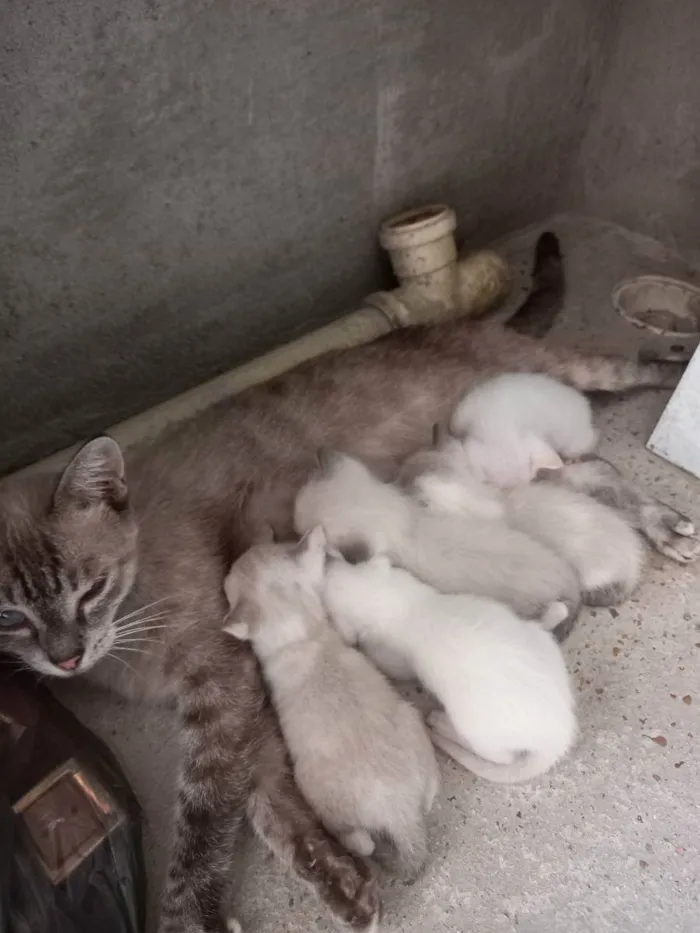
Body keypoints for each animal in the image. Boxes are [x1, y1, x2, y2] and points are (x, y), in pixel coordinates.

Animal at [221, 528, 438, 876]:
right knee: (430, 794)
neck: (300, 633)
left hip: (313, 790)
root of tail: (401, 814)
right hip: (413, 720)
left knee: (363, 842)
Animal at [326, 556, 576, 784]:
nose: (328, 560)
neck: (395, 604)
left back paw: (440, 722)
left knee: (501, 757)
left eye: (330, 612)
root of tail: (560, 735)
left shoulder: (395, 660)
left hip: (475, 726)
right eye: (351, 564)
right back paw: (552, 614)